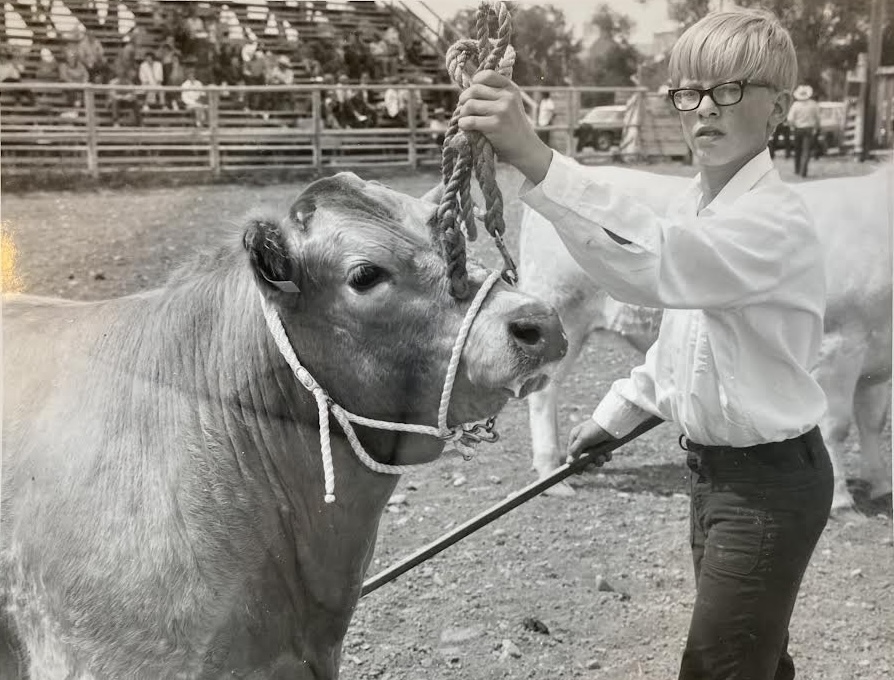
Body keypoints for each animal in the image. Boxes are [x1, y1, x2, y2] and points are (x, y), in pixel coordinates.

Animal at [518, 164, 893, 513]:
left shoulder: (877, 361)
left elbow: (873, 420)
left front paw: (881, 486)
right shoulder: (840, 343)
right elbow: (837, 424)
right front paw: (842, 500)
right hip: (564, 314)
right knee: (543, 395)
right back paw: (551, 474)